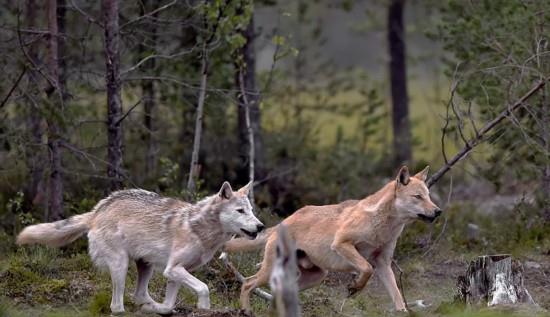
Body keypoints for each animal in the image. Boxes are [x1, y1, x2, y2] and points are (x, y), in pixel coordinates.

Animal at [16, 180, 266, 314]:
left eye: (251, 210)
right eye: (240, 211)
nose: (261, 226)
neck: (200, 230)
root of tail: (97, 211)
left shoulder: (175, 273)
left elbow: (169, 304)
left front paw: (164, 310)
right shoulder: (173, 269)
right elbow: (204, 288)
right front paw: (204, 308)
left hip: (146, 266)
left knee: (139, 296)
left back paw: (149, 307)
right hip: (121, 265)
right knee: (117, 305)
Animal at [224, 165, 444, 312]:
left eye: (428, 196)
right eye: (418, 197)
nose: (438, 211)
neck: (385, 226)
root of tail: (282, 223)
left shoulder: (383, 263)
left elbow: (398, 299)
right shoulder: (342, 244)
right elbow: (366, 269)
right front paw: (354, 288)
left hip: (316, 276)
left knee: (275, 294)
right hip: (271, 272)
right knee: (248, 283)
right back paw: (245, 311)